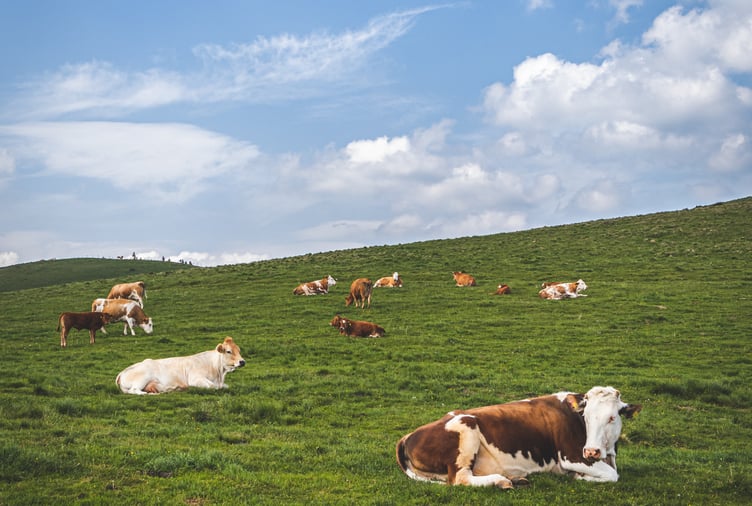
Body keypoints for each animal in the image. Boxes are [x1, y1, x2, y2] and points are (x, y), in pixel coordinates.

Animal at [116, 336, 246, 395]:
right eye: (228, 351)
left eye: (239, 350)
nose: (242, 361)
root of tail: (122, 372)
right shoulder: (195, 379)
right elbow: (213, 387)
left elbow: (225, 386)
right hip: (143, 378)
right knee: (134, 390)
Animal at [396, 386, 641, 490]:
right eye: (586, 416)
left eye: (612, 417)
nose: (591, 451)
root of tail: (408, 435)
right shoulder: (572, 456)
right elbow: (612, 475)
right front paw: (579, 477)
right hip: (466, 429)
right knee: (460, 479)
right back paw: (501, 481)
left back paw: (515, 479)